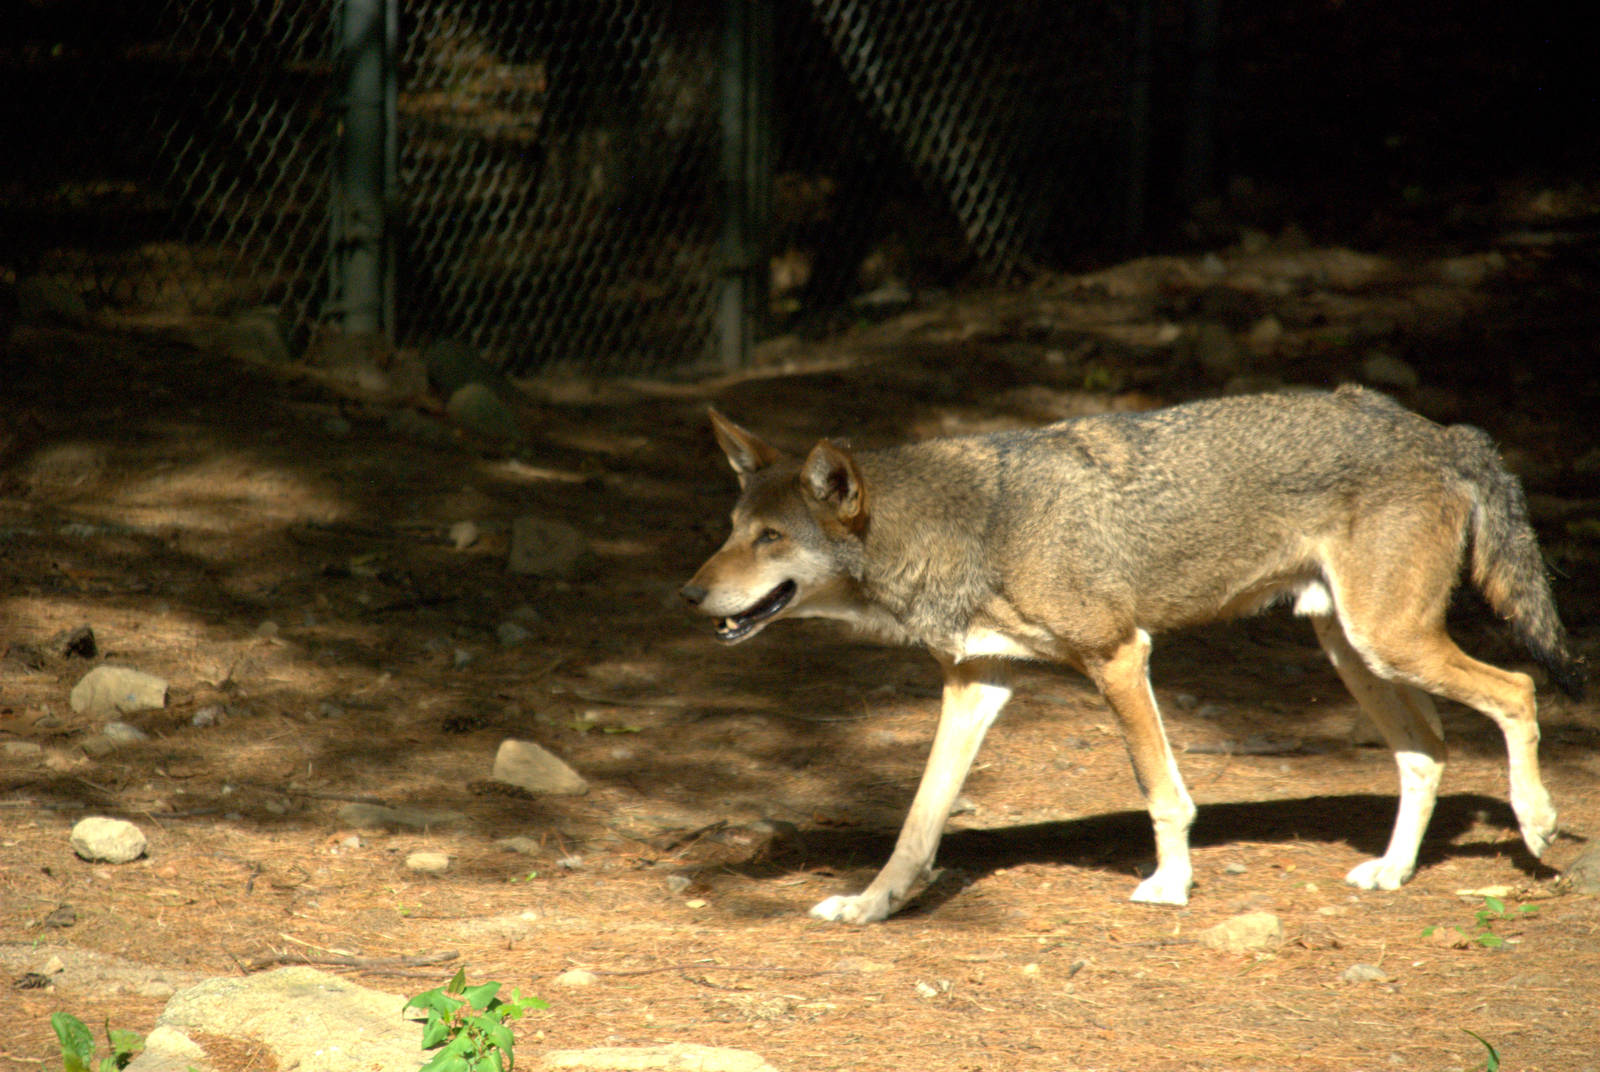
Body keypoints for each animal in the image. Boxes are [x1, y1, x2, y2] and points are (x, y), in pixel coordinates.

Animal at [680, 385, 1584, 924]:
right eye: (731, 531)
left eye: (770, 539)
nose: (688, 595)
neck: (972, 524)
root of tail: (1443, 431)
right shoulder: (976, 687)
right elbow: (917, 823)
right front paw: (873, 906)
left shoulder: (1119, 656)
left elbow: (1163, 794)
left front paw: (1172, 884)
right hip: (1355, 651)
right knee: (1427, 749)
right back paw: (1393, 873)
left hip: (1388, 643)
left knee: (1518, 688)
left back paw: (1537, 825)